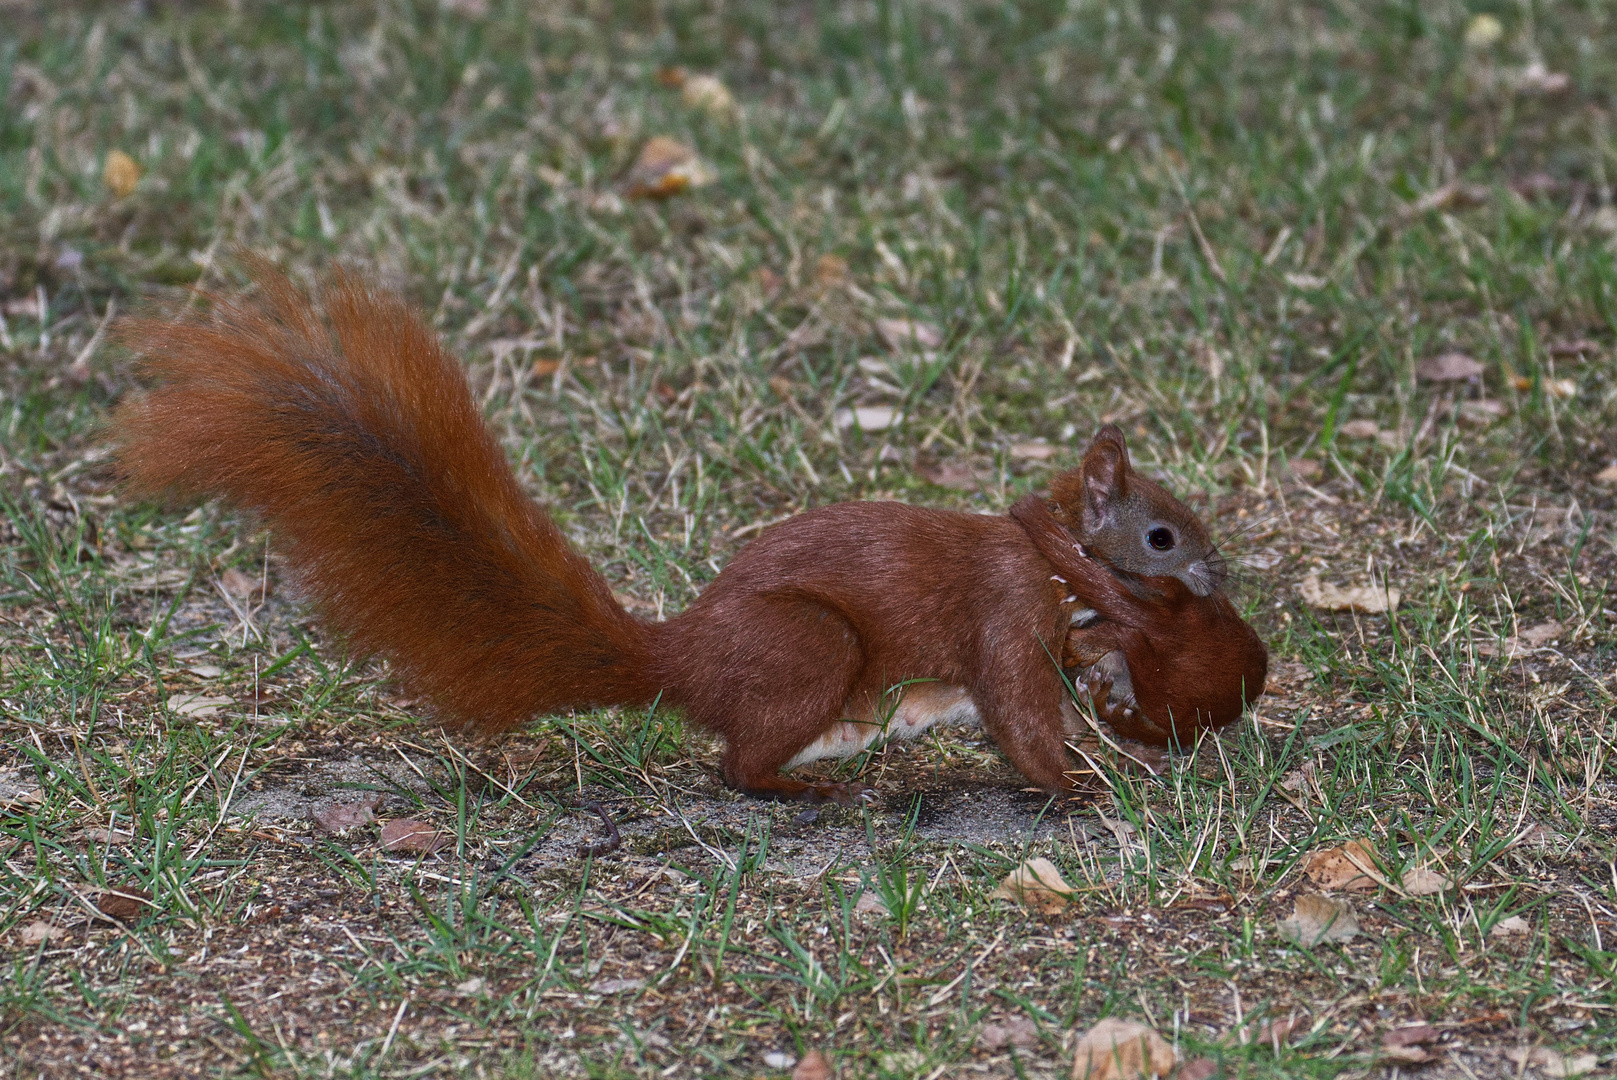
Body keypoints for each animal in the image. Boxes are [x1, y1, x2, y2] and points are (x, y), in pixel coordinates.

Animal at [117, 258, 1261, 801]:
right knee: (734, 767)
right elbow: (1019, 711)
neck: (1043, 555)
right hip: (809, 645)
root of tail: (683, 658)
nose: (1215, 580)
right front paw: (1077, 781)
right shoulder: (1002, 611)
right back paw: (801, 789)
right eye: (1162, 535)